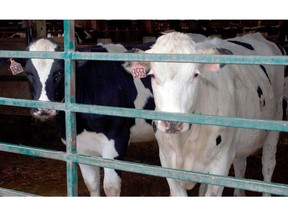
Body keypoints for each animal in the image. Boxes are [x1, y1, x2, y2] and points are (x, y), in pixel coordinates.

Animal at [24, 38, 155, 197]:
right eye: (28, 73)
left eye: (59, 72)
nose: (43, 109)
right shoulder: (81, 146)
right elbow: (91, 183)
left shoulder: (117, 140)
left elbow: (111, 187)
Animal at [124, 31, 286, 196]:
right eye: (153, 76)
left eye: (196, 75)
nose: (173, 123)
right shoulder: (166, 161)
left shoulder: (220, 164)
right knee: (240, 164)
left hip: (276, 120)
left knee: (268, 165)